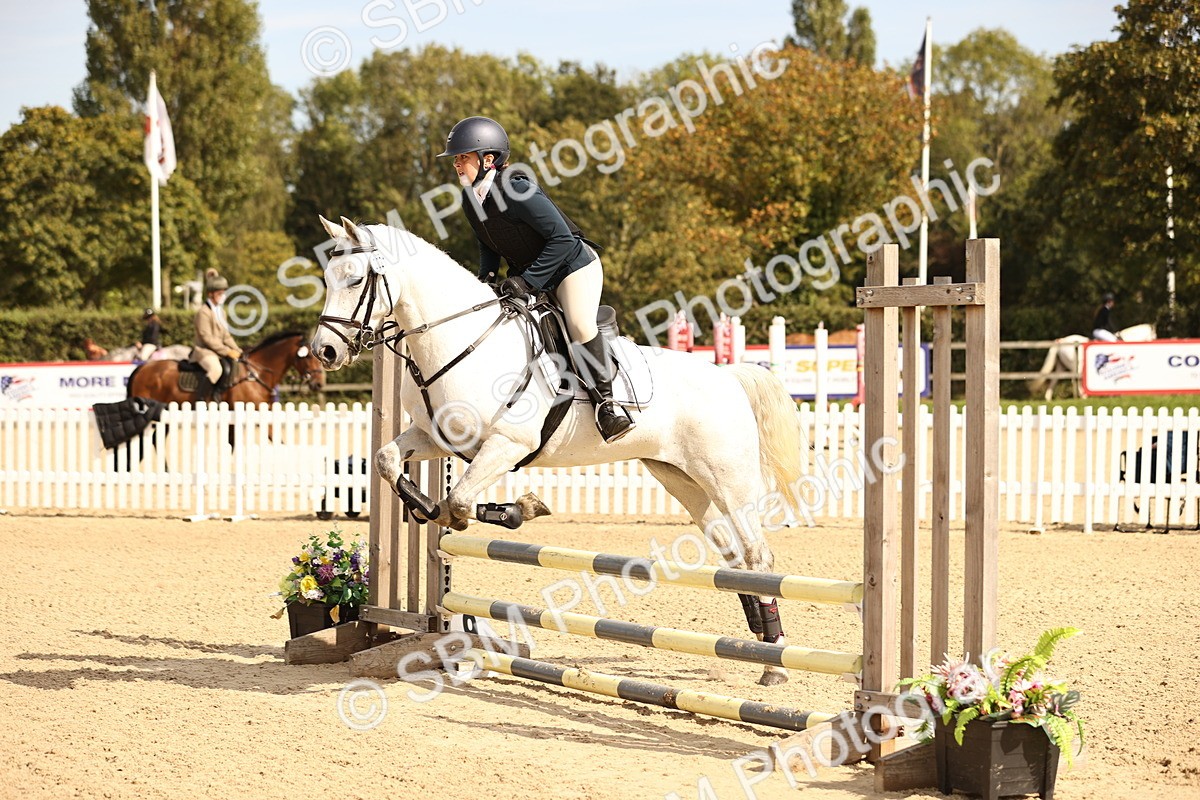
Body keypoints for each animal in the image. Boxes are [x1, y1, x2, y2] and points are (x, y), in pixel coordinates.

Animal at [310, 216, 806, 687]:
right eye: (328, 278)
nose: (325, 351)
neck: (462, 342)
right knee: (733, 556)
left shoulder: (507, 444)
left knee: (757, 555)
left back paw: (775, 663)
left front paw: (512, 510)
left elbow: (459, 501)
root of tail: (729, 375)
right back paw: (759, 640)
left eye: (355, 279)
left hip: (728, 479)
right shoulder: (436, 437)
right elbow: (391, 464)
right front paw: (453, 509)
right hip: (681, 479)